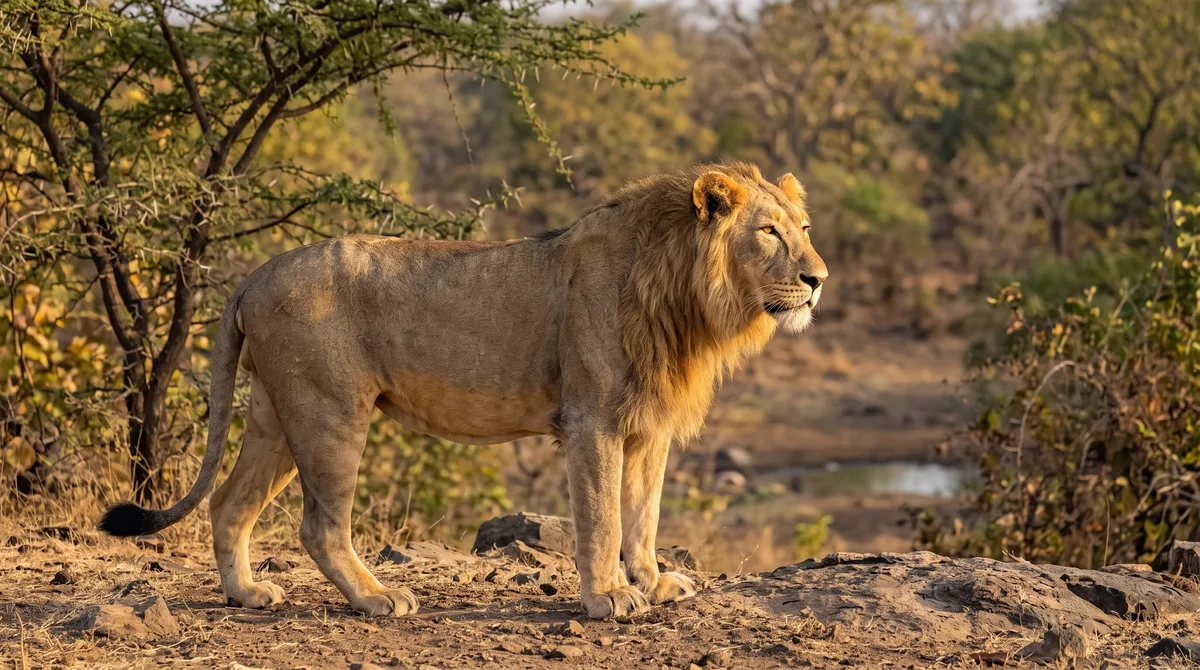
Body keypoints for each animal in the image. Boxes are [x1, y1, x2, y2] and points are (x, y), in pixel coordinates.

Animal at [99, 161, 828, 619]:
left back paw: (246, 593)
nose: (818, 279)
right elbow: (602, 517)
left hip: (276, 415)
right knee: (319, 525)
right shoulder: (592, 418)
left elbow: (642, 514)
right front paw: (609, 598)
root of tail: (254, 275)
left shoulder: (647, 424)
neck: (684, 293)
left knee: (228, 504)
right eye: (768, 231)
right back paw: (377, 599)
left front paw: (653, 583)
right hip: (329, 411)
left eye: (804, 229)